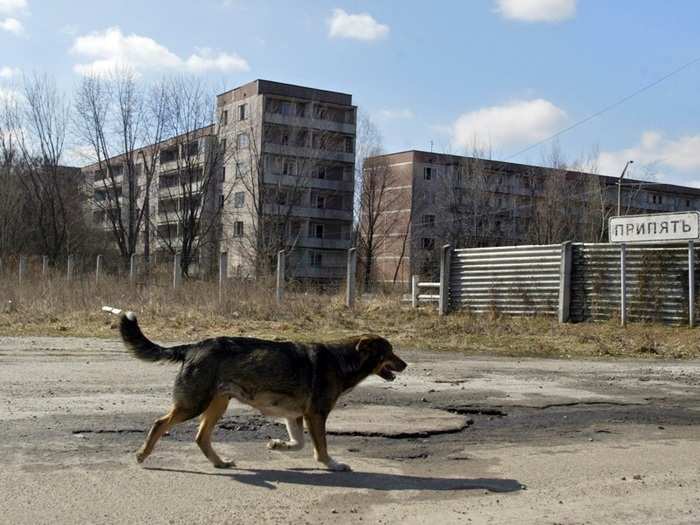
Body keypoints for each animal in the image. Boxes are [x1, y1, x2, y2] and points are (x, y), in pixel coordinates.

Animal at [102, 304, 408, 468]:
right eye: (390, 352)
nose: (405, 364)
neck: (341, 359)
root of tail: (195, 345)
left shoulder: (295, 416)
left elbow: (298, 443)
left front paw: (278, 445)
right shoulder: (316, 415)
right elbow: (320, 447)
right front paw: (331, 464)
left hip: (217, 404)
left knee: (201, 437)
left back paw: (220, 462)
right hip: (193, 404)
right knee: (159, 423)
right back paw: (143, 454)